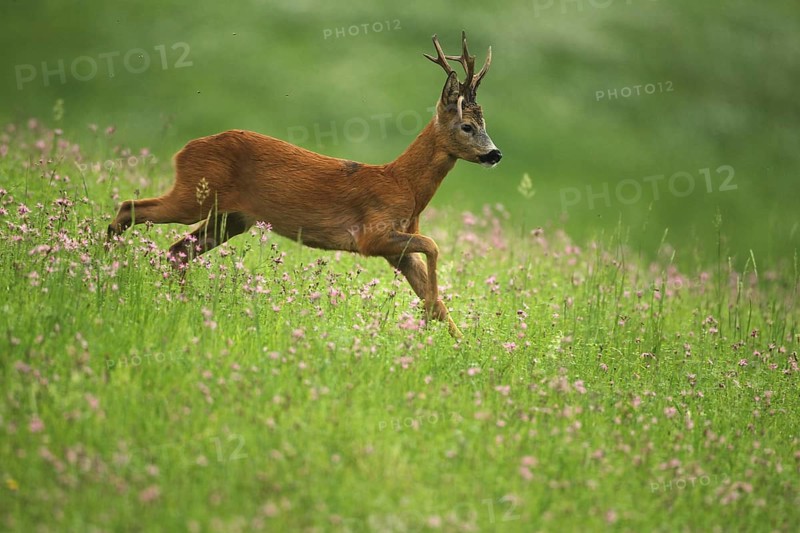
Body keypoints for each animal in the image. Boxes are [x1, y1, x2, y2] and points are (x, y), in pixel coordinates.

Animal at [107, 31, 501, 338]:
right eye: (467, 126)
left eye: (484, 124)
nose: (495, 154)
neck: (403, 183)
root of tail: (183, 150)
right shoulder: (371, 235)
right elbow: (434, 247)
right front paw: (426, 325)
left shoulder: (396, 249)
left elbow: (438, 300)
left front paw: (464, 349)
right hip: (195, 195)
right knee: (130, 208)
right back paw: (105, 264)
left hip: (229, 218)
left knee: (176, 251)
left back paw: (177, 300)